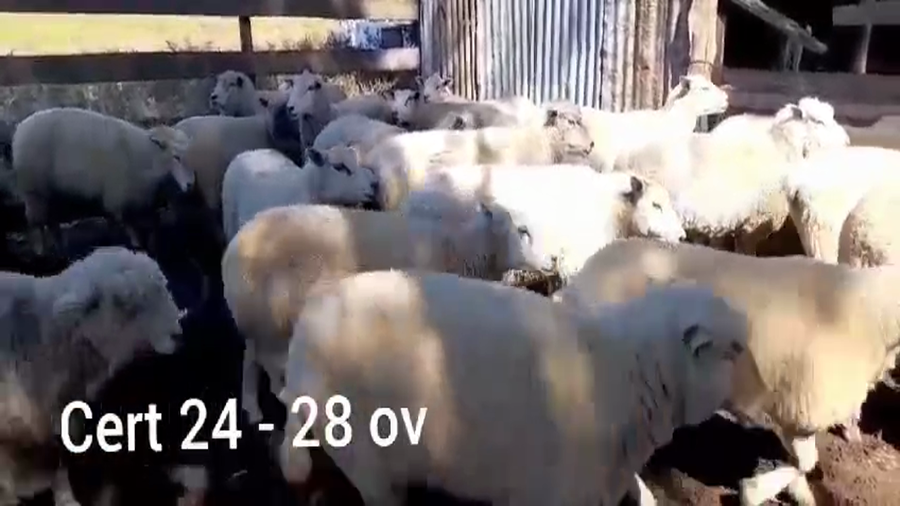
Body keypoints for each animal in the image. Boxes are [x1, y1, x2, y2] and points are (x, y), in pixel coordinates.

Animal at [12, 107, 197, 250]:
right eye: (176, 157)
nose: (190, 184)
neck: (147, 156)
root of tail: (20, 128)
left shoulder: (136, 199)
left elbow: (150, 224)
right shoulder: (119, 197)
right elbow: (129, 225)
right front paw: (136, 246)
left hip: (50, 193)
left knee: (51, 220)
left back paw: (60, 245)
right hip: (34, 190)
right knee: (35, 223)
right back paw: (40, 251)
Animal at [222, 201, 542, 425]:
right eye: (523, 231)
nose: (550, 259)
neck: (459, 250)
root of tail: (232, 252)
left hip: (260, 318)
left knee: (250, 356)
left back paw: (251, 407)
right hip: (273, 316)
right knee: (268, 361)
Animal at [552, 238, 900, 506]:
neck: (866, 310)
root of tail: (579, 281)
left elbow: (803, 463)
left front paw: (799, 494)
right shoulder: (799, 411)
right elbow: (806, 463)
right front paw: (755, 492)